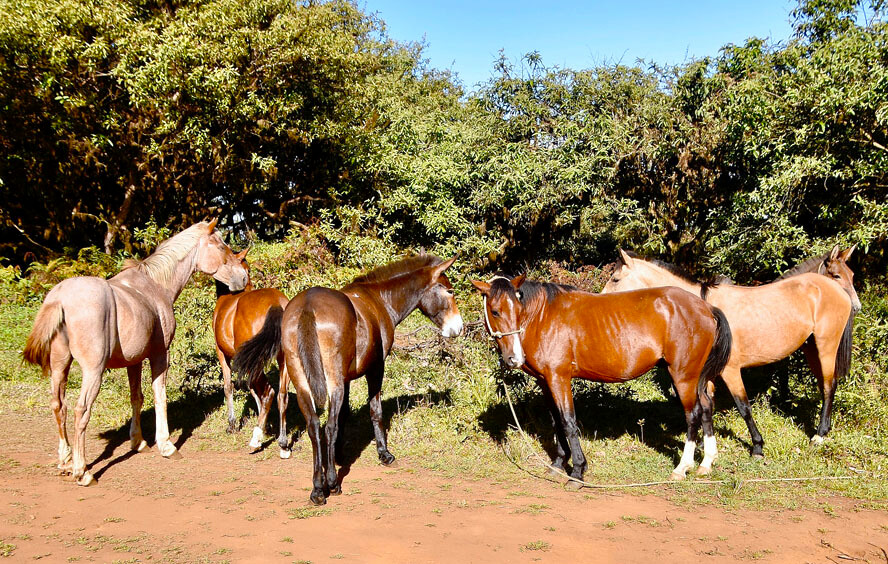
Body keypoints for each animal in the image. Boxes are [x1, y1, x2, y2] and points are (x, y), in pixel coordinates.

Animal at [23, 220, 249, 486]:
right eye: (222, 246)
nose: (243, 277)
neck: (155, 285)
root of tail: (60, 298)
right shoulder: (160, 354)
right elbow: (160, 396)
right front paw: (166, 446)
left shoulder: (134, 361)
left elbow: (136, 398)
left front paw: (139, 442)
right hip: (93, 371)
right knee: (81, 410)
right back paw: (82, 471)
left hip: (59, 366)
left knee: (59, 406)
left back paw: (65, 461)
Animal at [212, 252, 291, 457]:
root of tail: (276, 303)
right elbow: (252, 390)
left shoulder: (223, 354)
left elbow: (229, 386)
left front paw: (232, 425)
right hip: (283, 359)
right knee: (281, 395)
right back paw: (283, 443)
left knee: (268, 392)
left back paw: (255, 440)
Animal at [233, 254, 463, 505]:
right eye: (450, 291)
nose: (458, 327)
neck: (379, 299)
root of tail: (307, 306)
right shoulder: (375, 368)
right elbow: (374, 411)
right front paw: (384, 454)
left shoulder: (346, 379)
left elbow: (343, 415)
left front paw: (337, 455)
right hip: (332, 382)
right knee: (328, 426)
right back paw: (332, 484)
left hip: (302, 381)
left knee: (314, 426)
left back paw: (317, 488)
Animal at [471, 274, 732, 485]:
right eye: (495, 311)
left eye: (517, 309)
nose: (514, 358)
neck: (542, 317)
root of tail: (706, 307)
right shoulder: (546, 381)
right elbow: (556, 421)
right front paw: (558, 464)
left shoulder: (559, 378)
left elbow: (568, 421)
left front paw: (577, 472)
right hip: (697, 378)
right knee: (706, 407)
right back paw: (706, 463)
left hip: (683, 376)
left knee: (692, 415)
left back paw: (682, 467)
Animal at [602, 248, 854, 456]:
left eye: (615, 279)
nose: (600, 298)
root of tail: (837, 292)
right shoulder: (706, 374)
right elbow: (706, 407)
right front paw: (705, 445)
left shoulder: (730, 371)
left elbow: (743, 406)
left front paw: (757, 446)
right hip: (811, 348)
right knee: (824, 385)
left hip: (826, 347)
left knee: (829, 386)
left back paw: (819, 435)